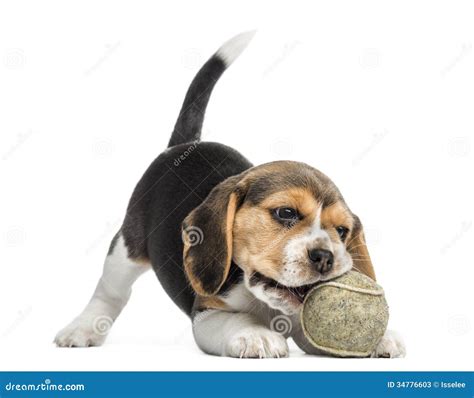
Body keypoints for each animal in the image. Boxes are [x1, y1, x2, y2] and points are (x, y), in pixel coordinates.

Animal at [54, 31, 404, 358]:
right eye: (286, 213)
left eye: (342, 231)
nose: (325, 257)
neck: (268, 304)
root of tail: (184, 144)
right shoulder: (207, 312)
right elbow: (235, 319)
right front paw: (256, 334)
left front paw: (380, 337)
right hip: (126, 246)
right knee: (110, 291)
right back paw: (82, 329)